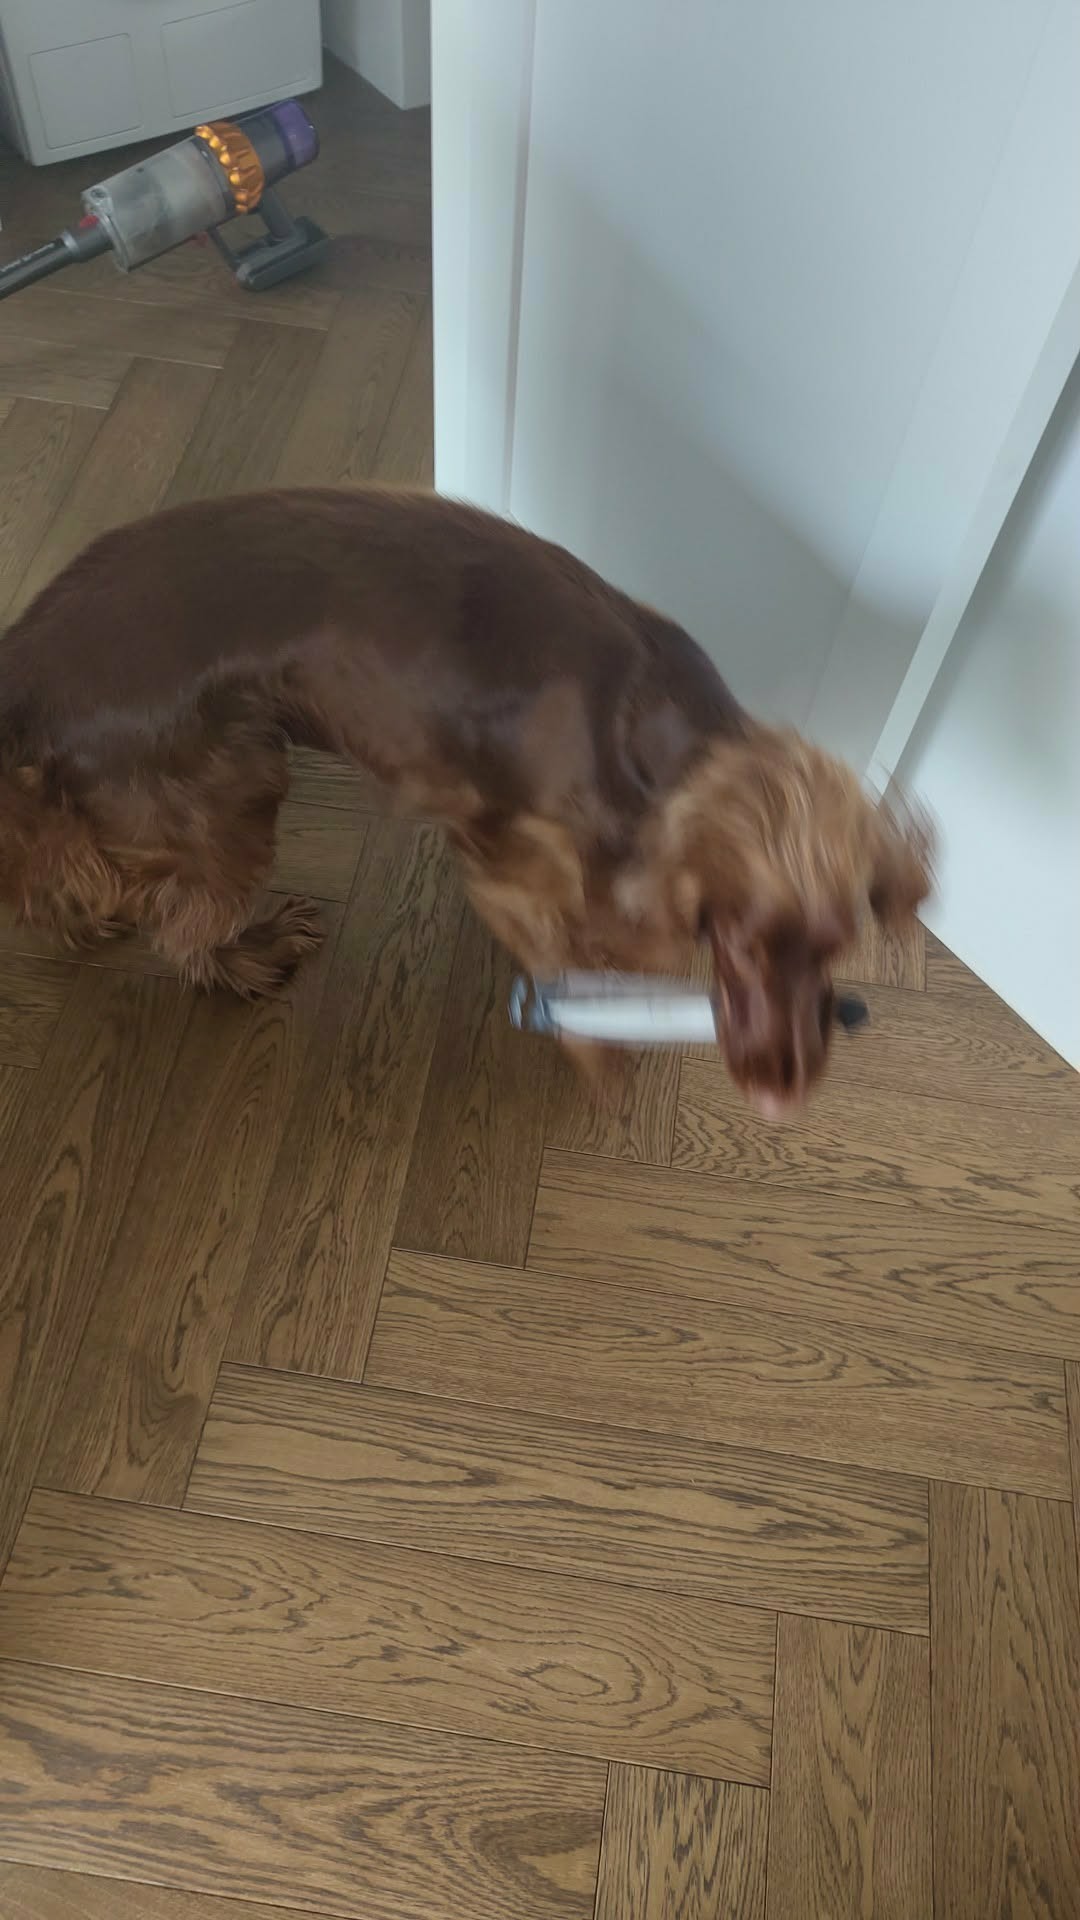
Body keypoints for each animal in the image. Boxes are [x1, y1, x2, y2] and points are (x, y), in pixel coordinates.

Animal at [0, 486, 931, 1112]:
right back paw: (246, 954)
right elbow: (568, 958)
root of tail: (27, 666)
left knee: (70, 869)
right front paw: (601, 1050)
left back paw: (89, 915)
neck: (656, 723)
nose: (785, 1095)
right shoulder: (510, 871)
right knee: (180, 923)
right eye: (738, 942)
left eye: (838, 947)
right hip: (226, 785)